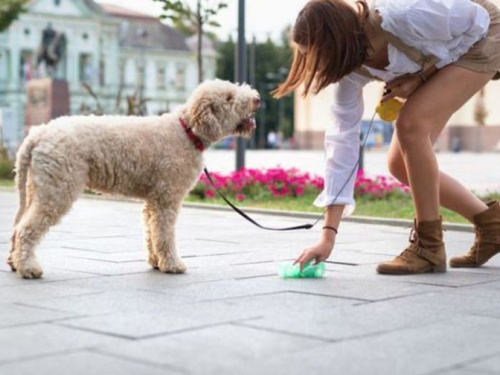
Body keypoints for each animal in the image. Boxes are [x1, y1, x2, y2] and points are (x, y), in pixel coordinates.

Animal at [8, 79, 262, 280]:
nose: (257, 99)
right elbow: (164, 234)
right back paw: (29, 268)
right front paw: (172, 264)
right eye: (229, 98)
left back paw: (14, 262)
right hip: (57, 189)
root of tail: (38, 134)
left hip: (37, 187)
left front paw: (156, 262)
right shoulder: (167, 198)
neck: (186, 131)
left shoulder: (154, 200)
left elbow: (151, 232)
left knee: (18, 225)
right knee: (26, 229)